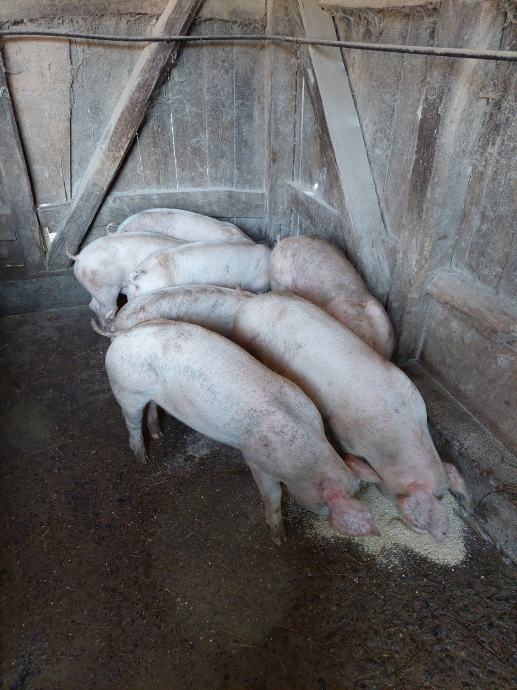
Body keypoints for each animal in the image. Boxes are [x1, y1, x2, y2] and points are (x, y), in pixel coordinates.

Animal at [101, 320, 379, 543]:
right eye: (323, 506)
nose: (328, 518)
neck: (307, 461)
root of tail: (122, 333)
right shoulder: (257, 459)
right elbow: (272, 495)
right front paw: (280, 539)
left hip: (147, 393)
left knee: (151, 408)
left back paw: (158, 435)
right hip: (126, 390)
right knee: (132, 422)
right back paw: (143, 459)